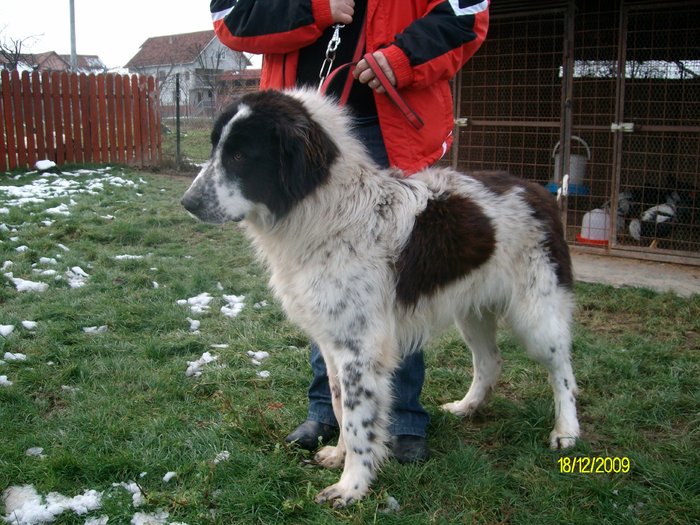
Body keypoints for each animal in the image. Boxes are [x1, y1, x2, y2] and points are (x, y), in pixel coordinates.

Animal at [182, 90, 580, 508]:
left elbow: (359, 421)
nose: (187, 203)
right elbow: (340, 406)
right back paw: (467, 407)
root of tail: (538, 190)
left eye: (241, 155)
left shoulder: (361, 348)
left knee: (563, 373)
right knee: (490, 361)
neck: (326, 213)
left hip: (537, 315)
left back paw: (566, 431)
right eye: (216, 148)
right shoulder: (333, 343)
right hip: (471, 310)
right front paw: (339, 456)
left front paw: (352, 485)